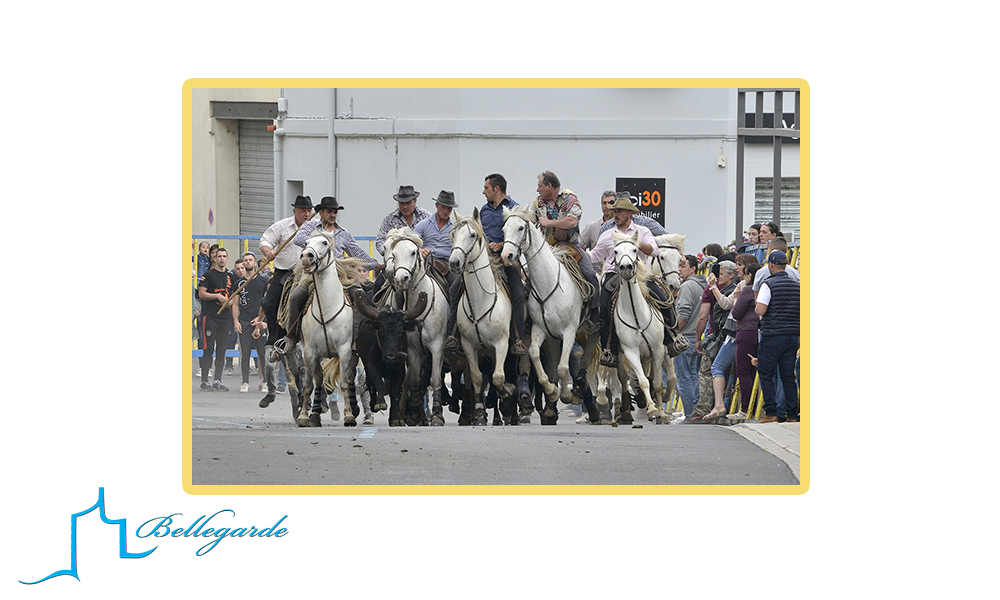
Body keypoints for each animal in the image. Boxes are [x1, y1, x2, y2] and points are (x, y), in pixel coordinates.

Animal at [294, 229, 366, 426]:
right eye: (305, 243)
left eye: (325, 243)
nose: (306, 256)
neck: (327, 309)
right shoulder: (309, 351)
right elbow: (309, 384)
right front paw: (304, 416)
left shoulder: (344, 350)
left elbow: (344, 382)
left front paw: (349, 416)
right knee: (319, 380)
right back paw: (315, 414)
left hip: (353, 354)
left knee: (350, 377)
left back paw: (354, 408)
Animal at [386, 227, 450, 424]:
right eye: (394, 254)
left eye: (413, 252)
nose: (401, 278)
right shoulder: (413, 349)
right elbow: (414, 380)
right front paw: (414, 413)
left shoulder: (437, 346)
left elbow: (435, 380)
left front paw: (437, 415)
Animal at [452, 211, 516, 426]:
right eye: (453, 234)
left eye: (472, 235)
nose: (454, 262)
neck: (481, 300)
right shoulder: (469, 346)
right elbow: (478, 378)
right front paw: (479, 414)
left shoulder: (501, 344)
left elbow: (499, 378)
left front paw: (508, 395)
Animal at [500, 204, 584, 424]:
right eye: (504, 229)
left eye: (521, 227)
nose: (506, 256)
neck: (549, 285)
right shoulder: (540, 330)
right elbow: (534, 354)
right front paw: (552, 390)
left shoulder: (569, 331)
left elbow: (563, 367)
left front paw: (566, 395)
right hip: (553, 339)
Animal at [604, 230, 668, 422]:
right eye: (615, 251)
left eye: (634, 249)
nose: (625, 268)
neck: (636, 315)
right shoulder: (631, 351)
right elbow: (643, 380)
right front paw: (652, 409)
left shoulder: (658, 349)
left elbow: (657, 382)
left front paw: (661, 412)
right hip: (619, 354)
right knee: (623, 379)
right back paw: (625, 410)